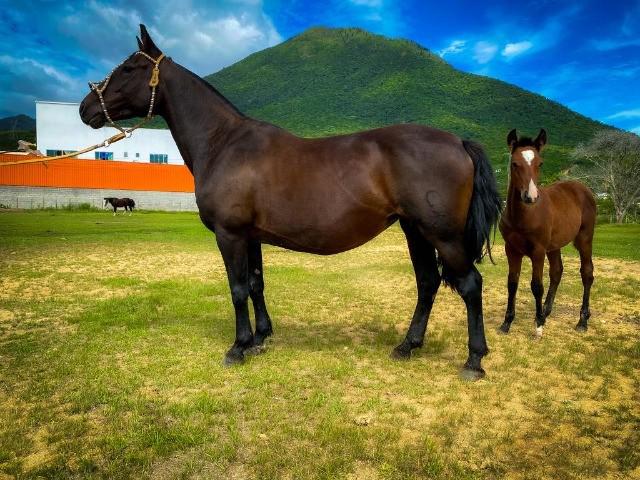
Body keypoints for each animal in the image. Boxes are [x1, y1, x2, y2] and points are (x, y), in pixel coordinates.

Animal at [80, 25, 502, 378]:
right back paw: (407, 346)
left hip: (442, 235)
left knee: (470, 285)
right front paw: (260, 338)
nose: (86, 108)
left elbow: (237, 288)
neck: (224, 143)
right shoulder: (250, 236)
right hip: (415, 230)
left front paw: (238, 347)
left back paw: (474, 360)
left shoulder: (229, 234)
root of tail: (458, 141)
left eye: (130, 68)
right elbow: (255, 284)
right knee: (428, 282)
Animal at [500, 127, 596, 338]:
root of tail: (582, 188)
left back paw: (582, 320)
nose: (530, 196)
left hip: (584, 239)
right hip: (554, 246)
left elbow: (536, 286)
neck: (523, 216)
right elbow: (512, 283)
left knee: (587, 272)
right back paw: (545, 312)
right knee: (557, 272)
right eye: (514, 164)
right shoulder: (511, 250)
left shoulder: (538, 251)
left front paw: (538, 327)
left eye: (540, 163)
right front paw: (507, 322)